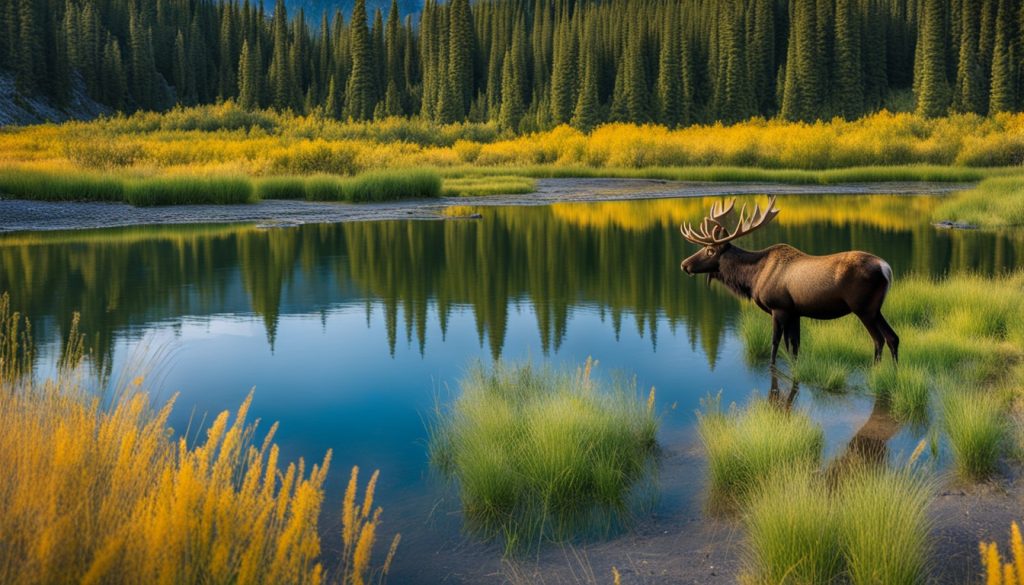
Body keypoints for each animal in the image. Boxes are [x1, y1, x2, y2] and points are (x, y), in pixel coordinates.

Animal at [679, 198, 897, 368]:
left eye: (710, 250)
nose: (684, 264)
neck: (754, 278)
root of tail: (887, 269)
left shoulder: (779, 307)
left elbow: (775, 343)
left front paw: (773, 368)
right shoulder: (795, 311)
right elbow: (794, 345)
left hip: (863, 308)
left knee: (879, 339)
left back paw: (875, 370)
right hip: (875, 308)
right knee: (892, 337)